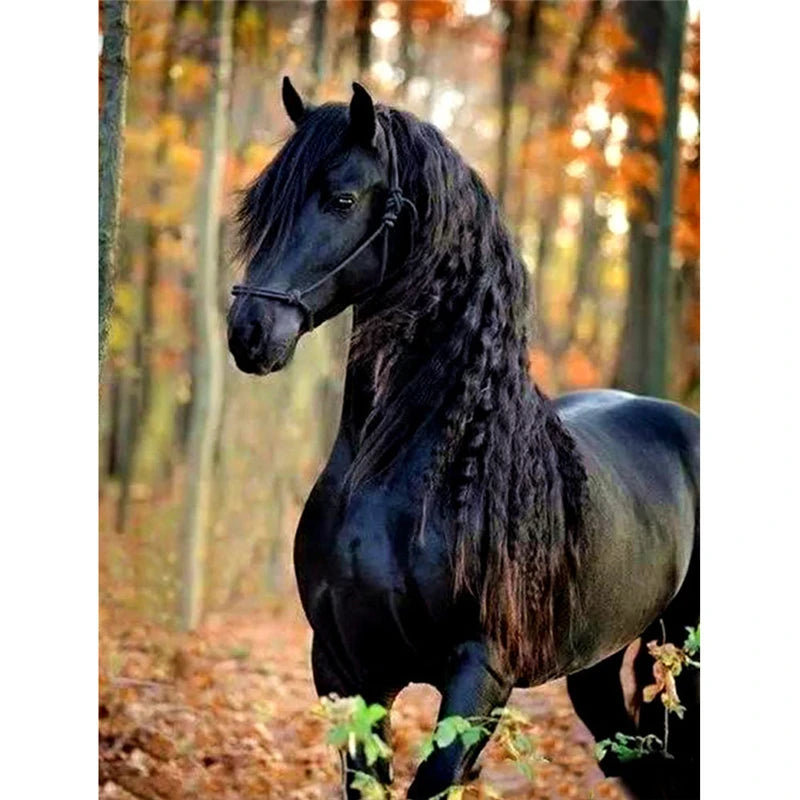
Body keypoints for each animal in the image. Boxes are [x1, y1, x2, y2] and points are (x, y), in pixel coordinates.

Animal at [227, 78, 699, 800]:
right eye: (260, 205)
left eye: (341, 199)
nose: (249, 332)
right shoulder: (344, 668)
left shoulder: (481, 674)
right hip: (599, 663)